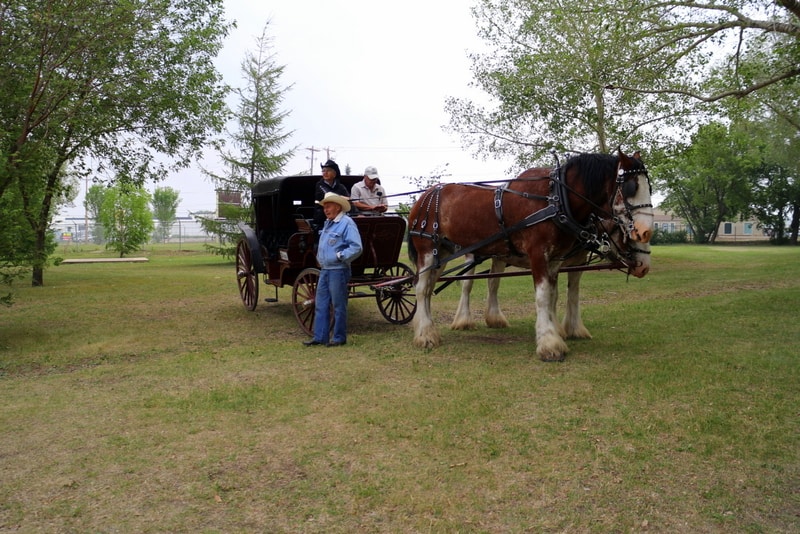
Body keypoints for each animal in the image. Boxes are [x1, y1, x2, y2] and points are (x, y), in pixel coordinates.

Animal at [410, 150, 652, 364]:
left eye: (649, 186)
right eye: (631, 187)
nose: (645, 231)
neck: (556, 198)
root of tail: (424, 197)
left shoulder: (556, 260)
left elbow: (555, 295)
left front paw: (559, 332)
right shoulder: (538, 254)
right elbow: (543, 297)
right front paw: (549, 344)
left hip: (444, 253)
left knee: (429, 288)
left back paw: (425, 326)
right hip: (431, 250)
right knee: (424, 289)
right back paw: (427, 335)